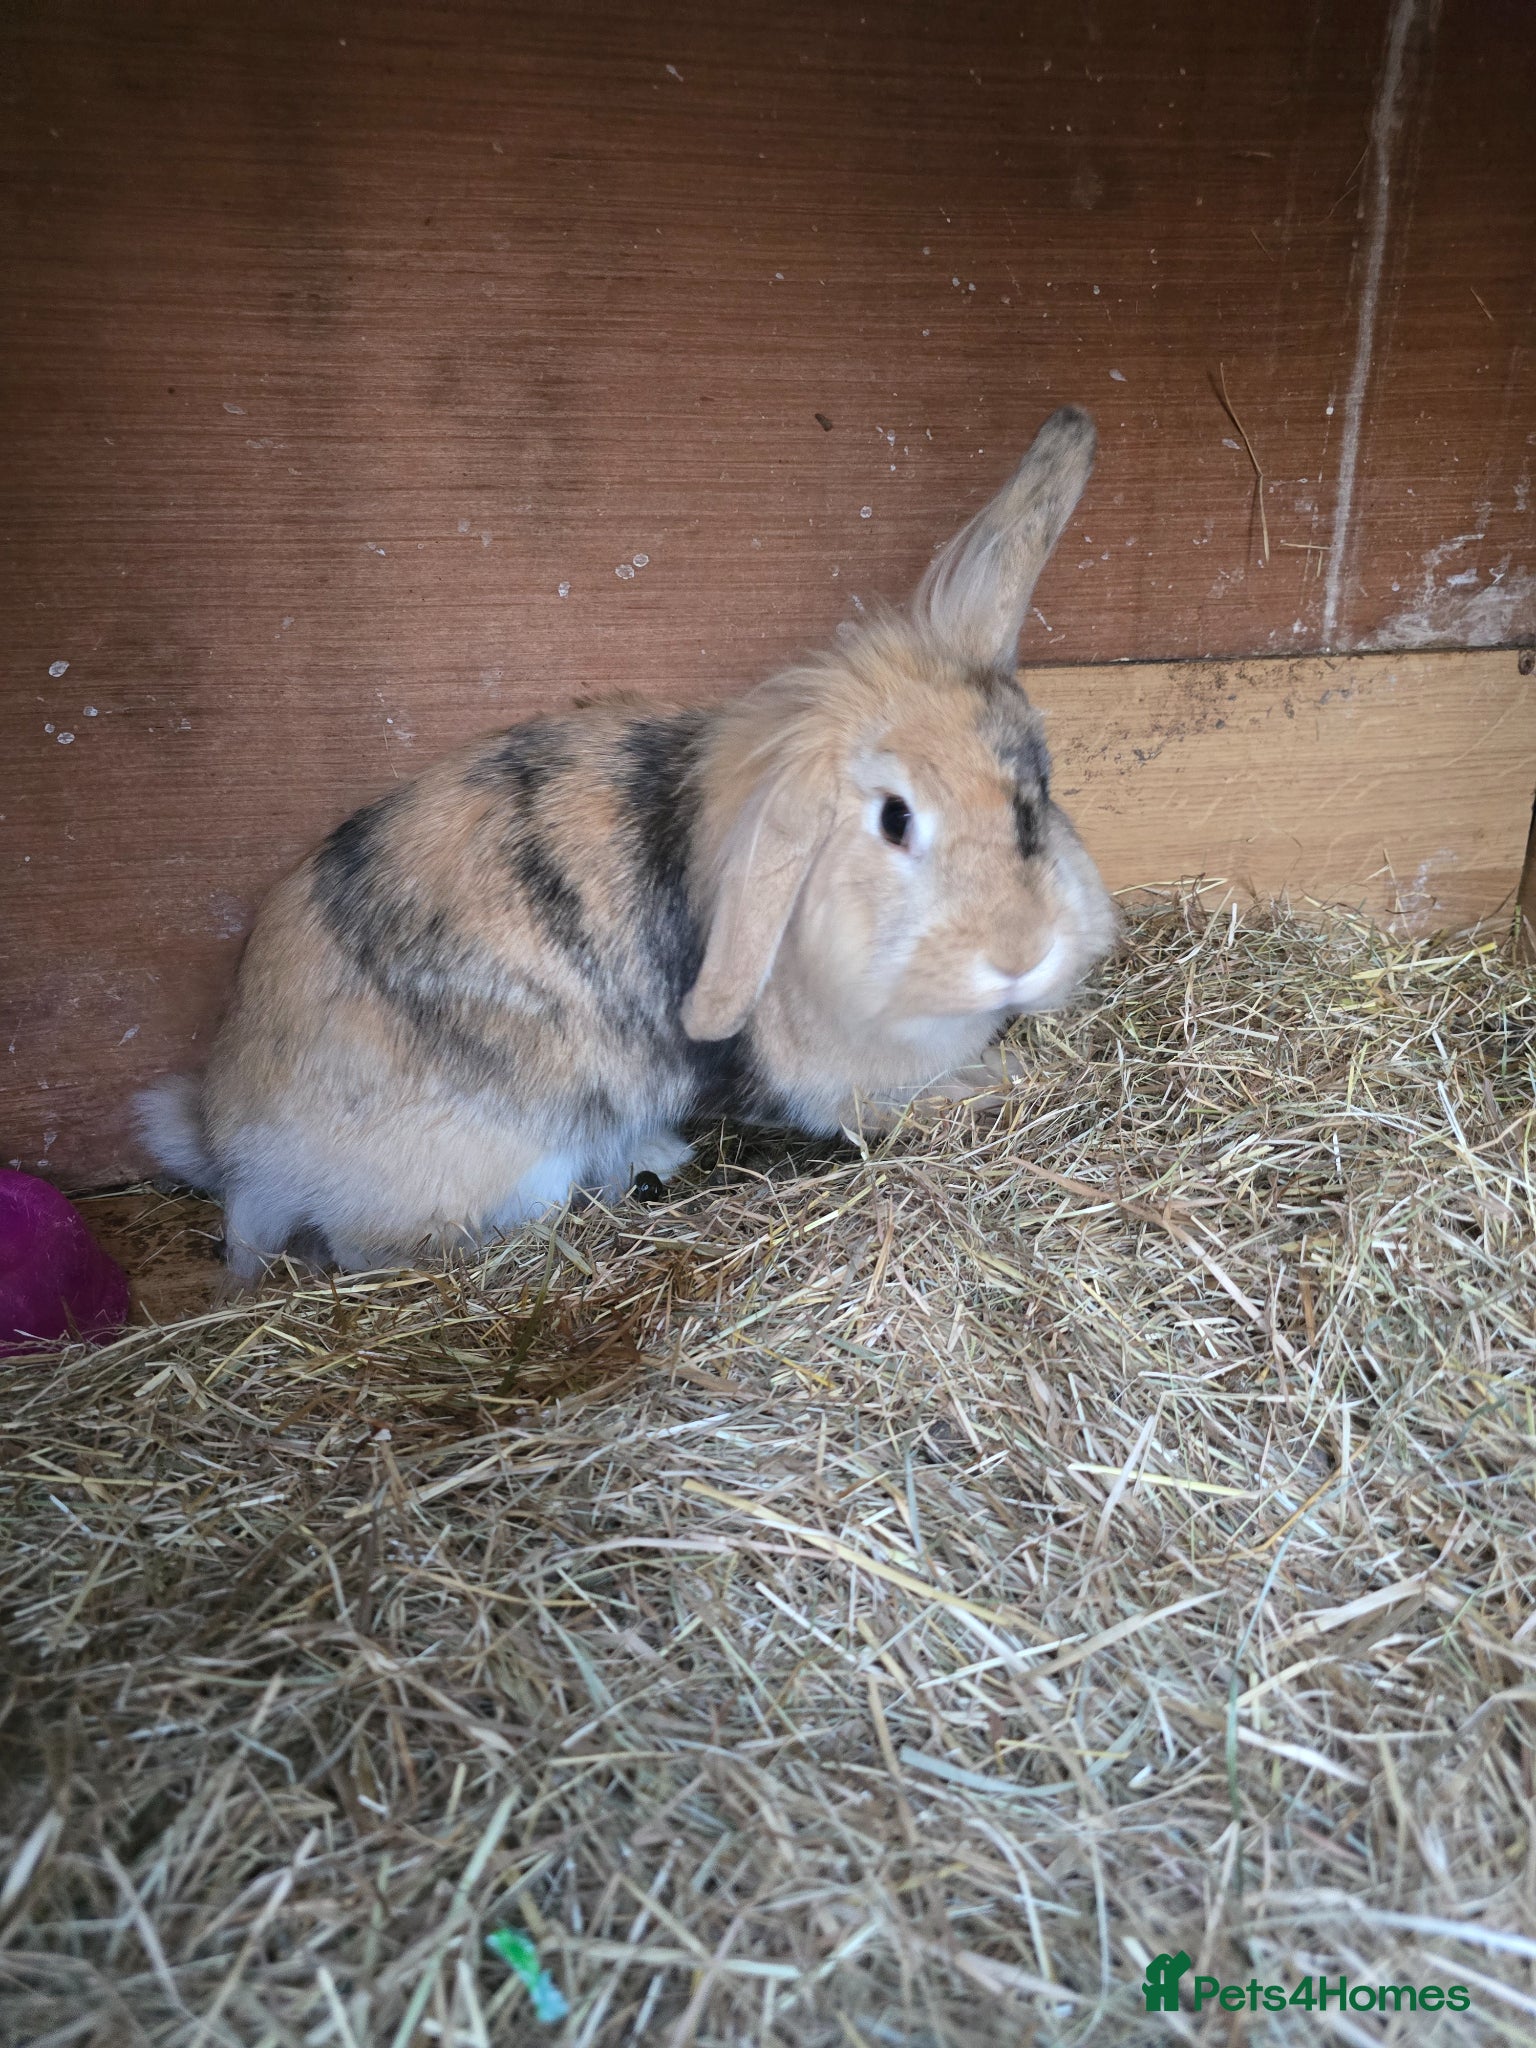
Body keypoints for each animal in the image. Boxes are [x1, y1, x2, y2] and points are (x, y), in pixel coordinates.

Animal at [138, 405, 1116, 1281]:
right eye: (895, 819)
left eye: (1041, 789)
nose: (1021, 953)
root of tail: (240, 1151)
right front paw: (989, 1082)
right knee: (366, 1250)